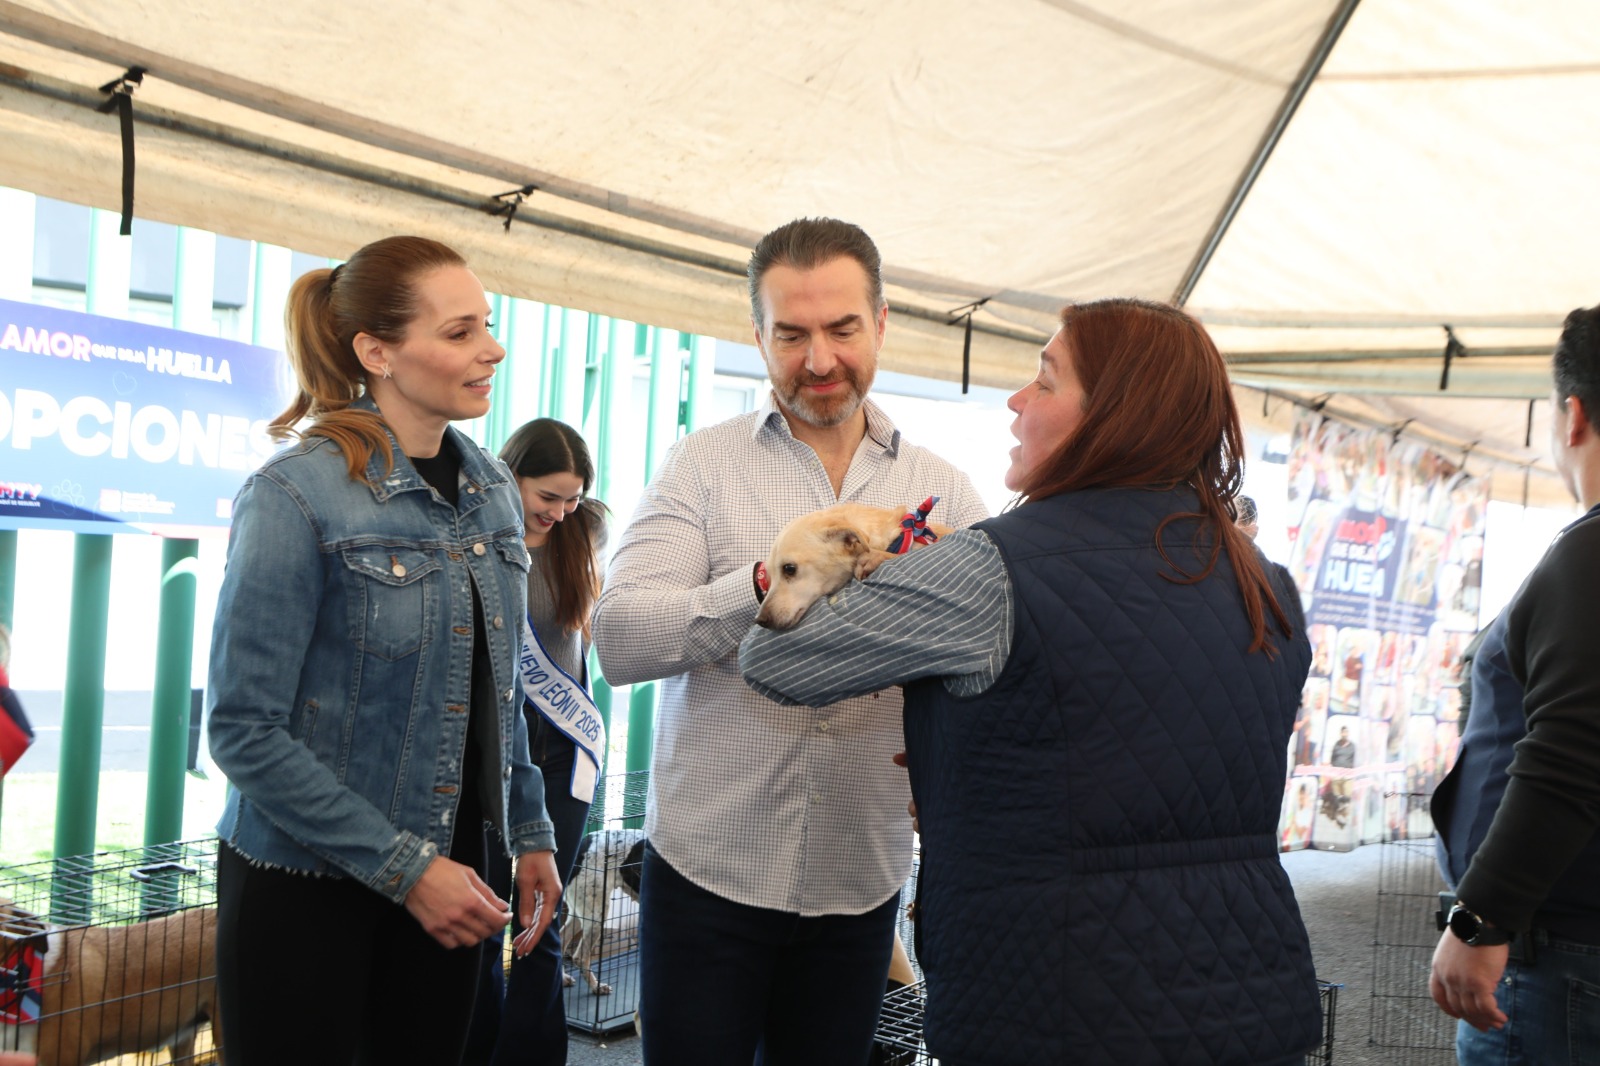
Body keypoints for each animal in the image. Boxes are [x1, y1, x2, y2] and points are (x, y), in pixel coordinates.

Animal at [556, 825, 643, 992]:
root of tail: (582, 846)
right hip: (597, 914)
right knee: (580, 957)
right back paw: (596, 987)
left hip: (581, 912)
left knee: (562, 939)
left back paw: (563, 978)